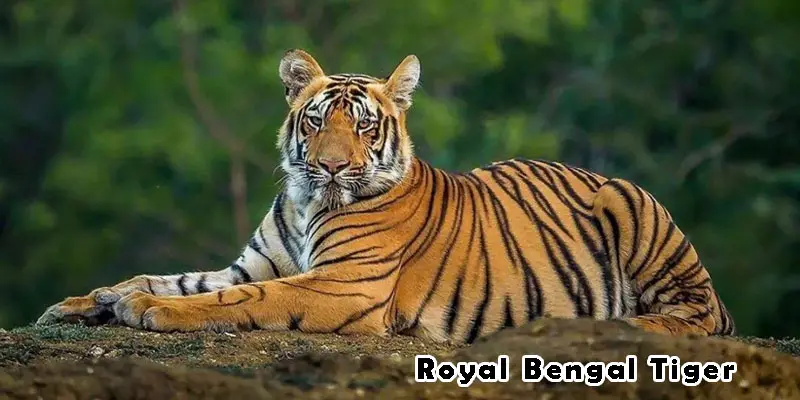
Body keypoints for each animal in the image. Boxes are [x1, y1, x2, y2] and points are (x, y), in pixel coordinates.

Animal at [36, 49, 736, 344]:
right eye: (317, 120)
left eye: (365, 126)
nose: (329, 166)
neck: (306, 201)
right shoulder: (254, 262)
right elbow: (173, 277)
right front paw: (90, 301)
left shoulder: (345, 285)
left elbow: (238, 299)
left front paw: (147, 311)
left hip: (634, 208)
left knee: (696, 317)